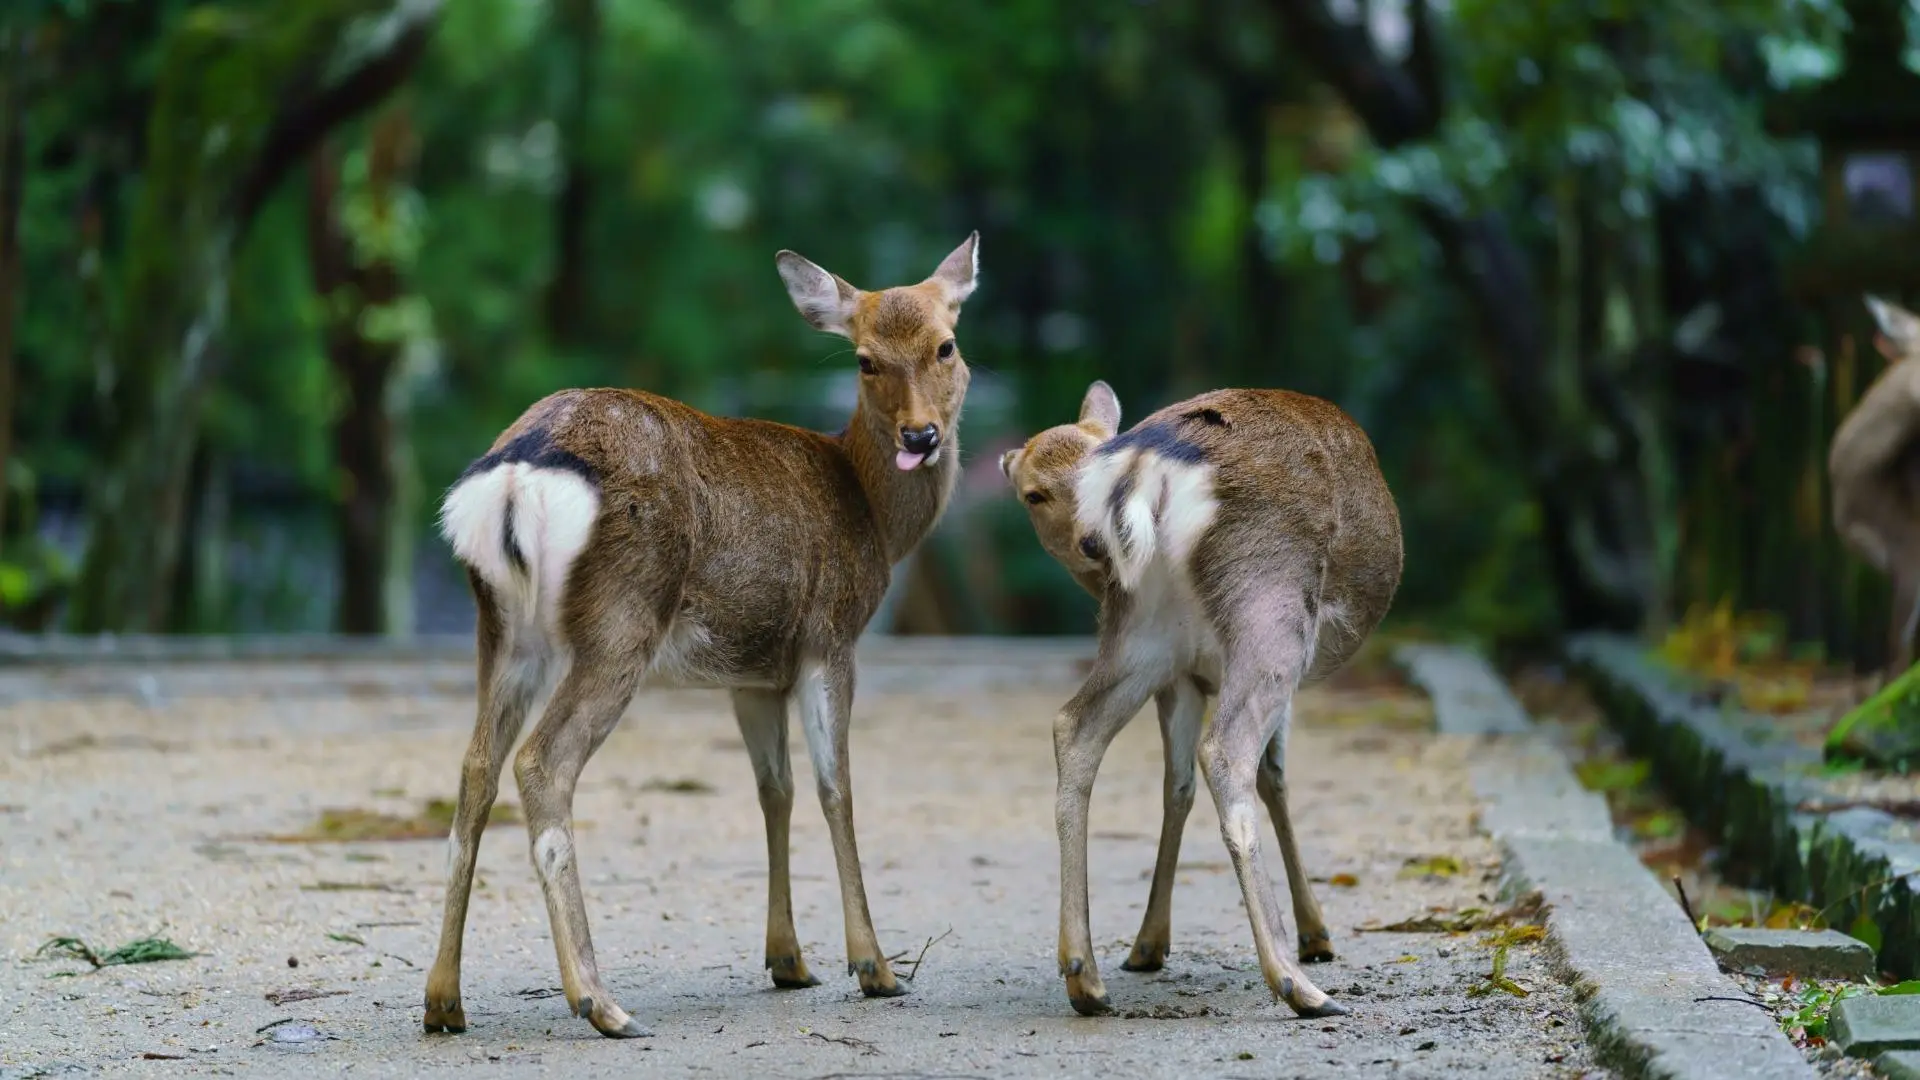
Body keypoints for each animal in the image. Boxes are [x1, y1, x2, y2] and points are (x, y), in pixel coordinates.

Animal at [426, 233, 983, 1037]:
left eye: (946, 344)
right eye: (864, 359)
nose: (921, 434)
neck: (874, 516)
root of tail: (513, 481)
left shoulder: (752, 673)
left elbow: (774, 789)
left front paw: (789, 960)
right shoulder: (830, 635)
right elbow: (835, 788)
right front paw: (875, 967)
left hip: (501, 629)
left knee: (475, 769)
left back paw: (443, 1000)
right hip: (621, 617)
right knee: (542, 762)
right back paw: (600, 1001)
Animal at [1006, 378, 1397, 1014]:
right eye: (1033, 494)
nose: (1089, 543)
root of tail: (1151, 470)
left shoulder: (1183, 676)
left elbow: (1177, 785)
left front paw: (1148, 944)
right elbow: (1275, 776)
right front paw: (1315, 934)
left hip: (1145, 631)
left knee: (1074, 727)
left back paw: (1084, 975)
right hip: (1272, 614)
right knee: (1227, 752)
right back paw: (1296, 983)